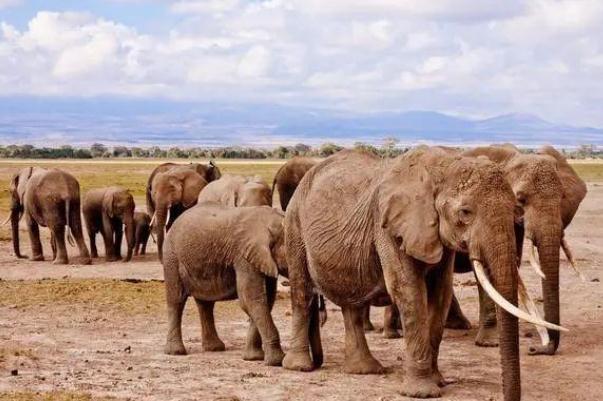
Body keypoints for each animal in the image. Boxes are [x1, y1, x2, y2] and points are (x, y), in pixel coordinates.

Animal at [164, 205, 290, 364]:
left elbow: (265, 301)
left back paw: (214, 348)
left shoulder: (262, 259)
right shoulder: (244, 257)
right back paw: (176, 352)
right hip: (172, 257)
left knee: (205, 304)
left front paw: (253, 358)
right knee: (176, 300)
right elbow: (251, 299)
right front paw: (276, 361)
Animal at [280, 147, 564, 400]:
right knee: (302, 292)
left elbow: (440, 293)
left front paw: (438, 381)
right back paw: (299, 366)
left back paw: (364, 370)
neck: (442, 166)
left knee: (352, 304)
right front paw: (422, 392)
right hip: (294, 225)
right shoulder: (388, 227)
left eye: (516, 207)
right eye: (465, 213)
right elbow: (408, 290)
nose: (533, 349)